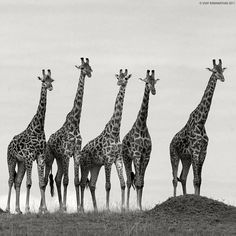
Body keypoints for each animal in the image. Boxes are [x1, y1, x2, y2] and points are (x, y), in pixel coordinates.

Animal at [5, 68, 54, 214]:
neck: (39, 127)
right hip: (11, 159)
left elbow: (41, 183)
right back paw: (8, 208)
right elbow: (29, 183)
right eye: (43, 80)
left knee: (17, 181)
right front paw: (27, 209)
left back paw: (17, 209)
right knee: (11, 180)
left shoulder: (40, 156)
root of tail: (9, 144)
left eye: (52, 80)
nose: (50, 87)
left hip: (21, 163)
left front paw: (44, 209)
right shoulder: (29, 157)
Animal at [44, 57, 92, 212]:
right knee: (48, 179)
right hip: (51, 158)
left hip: (59, 159)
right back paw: (56, 206)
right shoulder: (66, 153)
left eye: (90, 66)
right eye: (82, 68)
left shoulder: (75, 153)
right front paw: (67, 206)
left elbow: (76, 181)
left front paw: (79, 208)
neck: (76, 123)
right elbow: (67, 180)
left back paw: (60, 205)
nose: (89, 73)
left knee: (57, 178)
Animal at [78, 68, 132, 212]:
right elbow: (108, 185)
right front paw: (107, 209)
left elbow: (122, 183)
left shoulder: (117, 158)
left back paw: (96, 209)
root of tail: (81, 152)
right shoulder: (108, 159)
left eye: (126, 78)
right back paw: (82, 209)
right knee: (81, 183)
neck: (115, 131)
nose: (119, 82)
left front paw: (123, 208)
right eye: (118, 77)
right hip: (85, 165)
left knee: (92, 185)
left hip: (95, 166)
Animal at [121, 69, 159, 209]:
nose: (153, 91)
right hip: (126, 158)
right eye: (146, 82)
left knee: (134, 178)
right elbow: (136, 182)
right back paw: (126, 207)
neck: (142, 124)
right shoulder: (137, 154)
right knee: (128, 180)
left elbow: (141, 182)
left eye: (154, 82)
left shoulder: (146, 155)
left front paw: (141, 206)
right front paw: (137, 207)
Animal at [169, 59, 226, 195]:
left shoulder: (203, 152)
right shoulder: (195, 151)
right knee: (174, 179)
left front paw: (197, 197)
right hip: (174, 155)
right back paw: (174, 197)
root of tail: (170, 142)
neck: (201, 122)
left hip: (186, 159)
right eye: (214, 71)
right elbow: (195, 180)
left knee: (182, 177)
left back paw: (185, 196)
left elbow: (199, 180)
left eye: (222, 70)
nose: (222, 78)